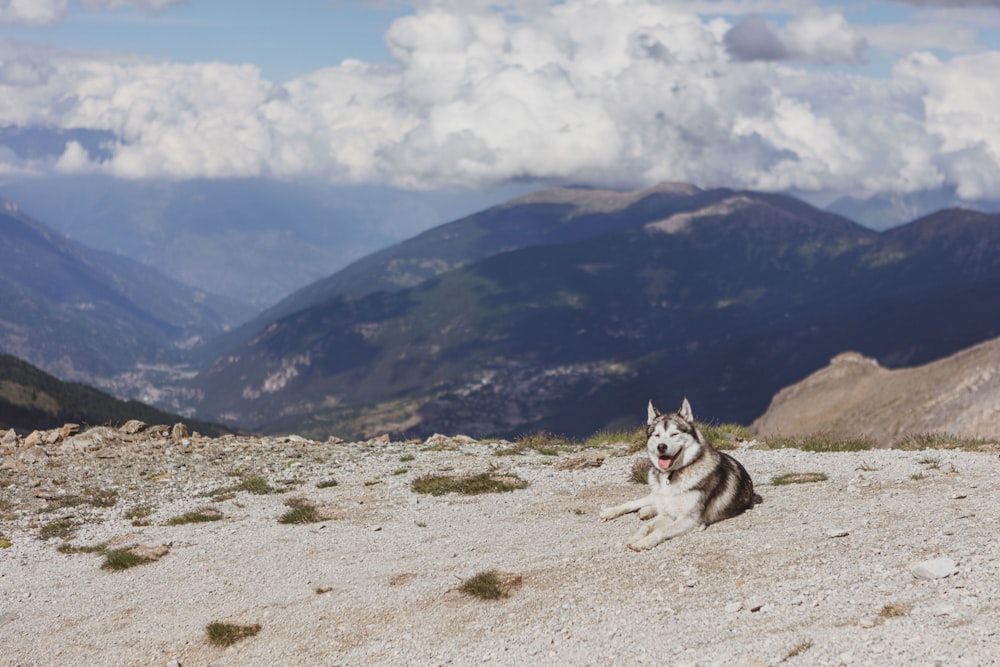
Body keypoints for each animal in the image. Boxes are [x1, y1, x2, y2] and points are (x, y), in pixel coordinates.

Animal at [596, 400, 752, 552]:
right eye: (657, 435)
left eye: (674, 434)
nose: (661, 446)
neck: (671, 475)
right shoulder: (669, 514)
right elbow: (646, 526)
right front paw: (636, 537)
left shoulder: (689, 519)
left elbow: (660, 530)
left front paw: (644, 542)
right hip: (655, 493)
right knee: (635, 503)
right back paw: (612, 511)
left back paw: (646, 511)